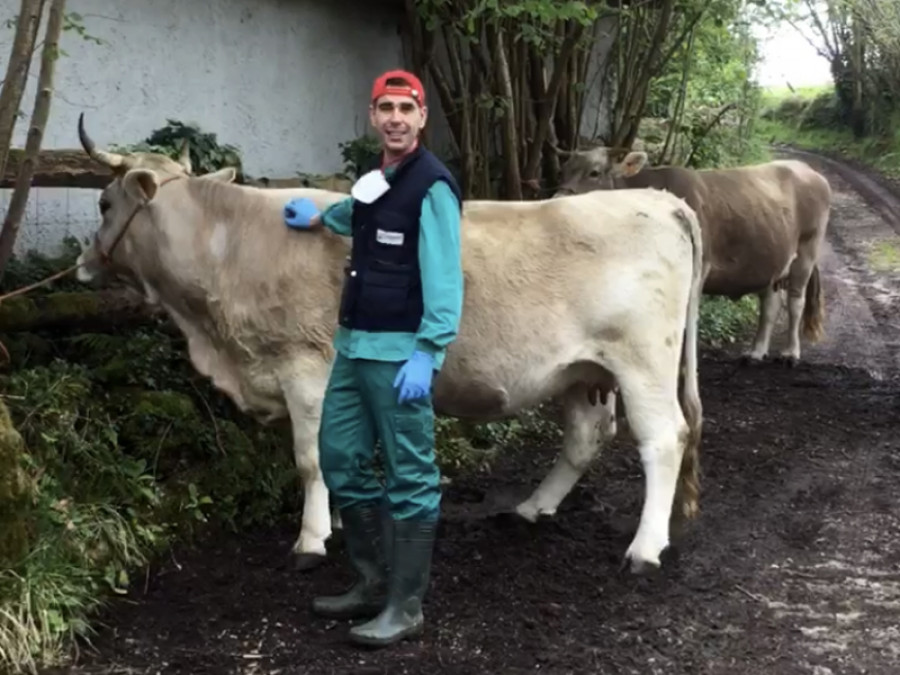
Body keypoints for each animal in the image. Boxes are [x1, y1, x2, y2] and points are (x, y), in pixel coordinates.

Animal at [75, 113, 704, 572]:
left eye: (103, 204)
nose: (82, 264)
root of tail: (658, 198)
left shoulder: (305, 369)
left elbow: (309, 459)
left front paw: (311, 538)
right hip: (581, 369)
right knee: (586, 437)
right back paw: (532, 507)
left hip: (643, 361)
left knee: (664, 438)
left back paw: (645, 549)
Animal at [552, 149, 832, 368]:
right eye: (563, 171)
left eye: (594, 172)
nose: (556, 200)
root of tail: (806, 169)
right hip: (771, 260)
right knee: (771, 305)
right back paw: (756, 352)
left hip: (807, 251)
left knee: (796, 302)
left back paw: (790, 353)